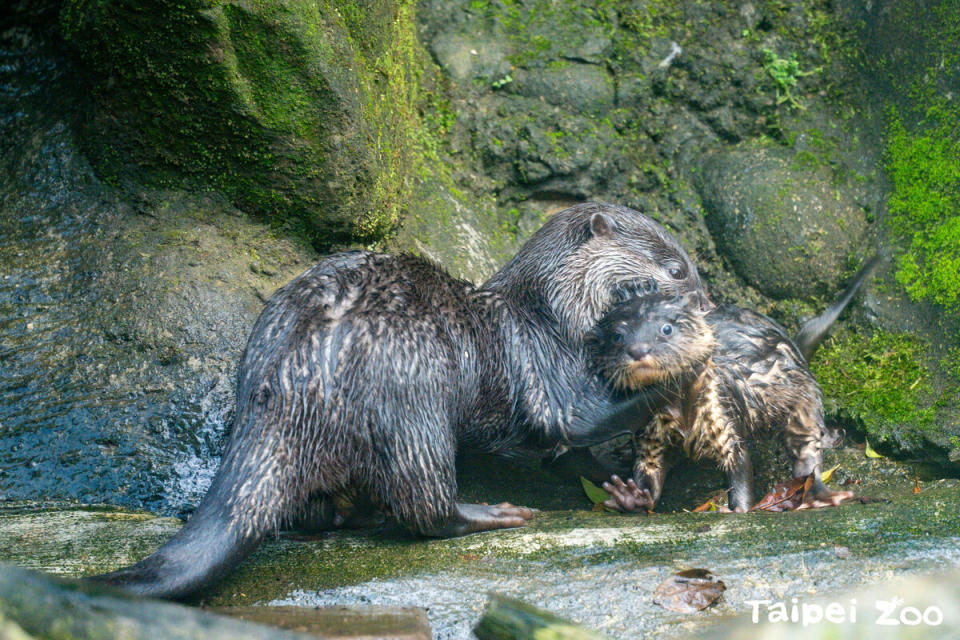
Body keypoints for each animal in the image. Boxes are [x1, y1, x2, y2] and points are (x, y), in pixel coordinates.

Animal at [90, 202, 708, 596]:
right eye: (675, 269)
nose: (704, 300)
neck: (554, 312)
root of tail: (291, 375)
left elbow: (571, 458)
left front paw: (628, 488)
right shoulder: (547, 367)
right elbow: (577, 419)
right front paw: (689, 368)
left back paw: (352, 514)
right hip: (413, 398)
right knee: (425, 507)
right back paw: (490, 513)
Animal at [588, 258, 872, 512]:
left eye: (666, 329)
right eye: (617, 336)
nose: (638, 350)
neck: (682, 412)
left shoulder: (722, 413)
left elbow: (739, 464)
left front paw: (738, 509)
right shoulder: (650, 432)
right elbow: (649, 468)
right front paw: (630, 496)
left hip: (801, 396)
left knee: (806, 448)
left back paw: (816, 494)